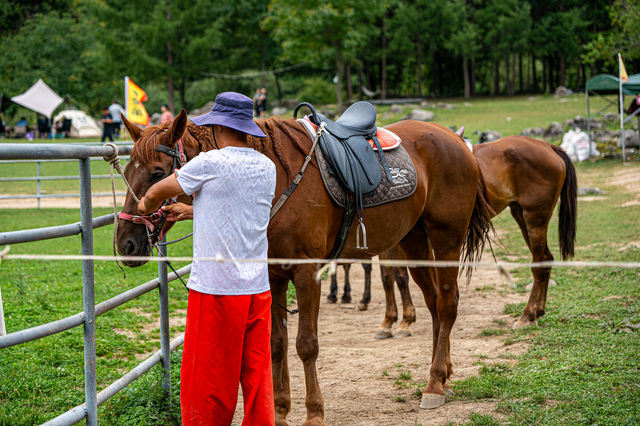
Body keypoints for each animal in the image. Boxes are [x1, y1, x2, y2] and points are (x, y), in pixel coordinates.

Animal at [116, 109, 496, 422]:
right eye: (127, 171)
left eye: (158, 173)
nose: (126, 245)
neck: (275, 179)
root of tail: (455, 140)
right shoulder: (274, 275)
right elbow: (277, 344)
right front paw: (281, 411)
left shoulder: (306, 273)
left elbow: (306, 345)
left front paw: (314, 413)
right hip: (414, 241)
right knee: (433, 304)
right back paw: (442, 372)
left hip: (446, 238)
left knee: (447, 304)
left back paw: (434, 384)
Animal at [342, 136, 576, 336]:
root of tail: (548, 146)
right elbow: (387, 278)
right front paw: (388, 321)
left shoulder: (399, 242)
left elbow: (399, 277)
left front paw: (405, 321)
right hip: (520, 215)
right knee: (545, 260)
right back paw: (537, 312)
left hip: (535, 217)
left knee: (538, 263)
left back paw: (527, 316)